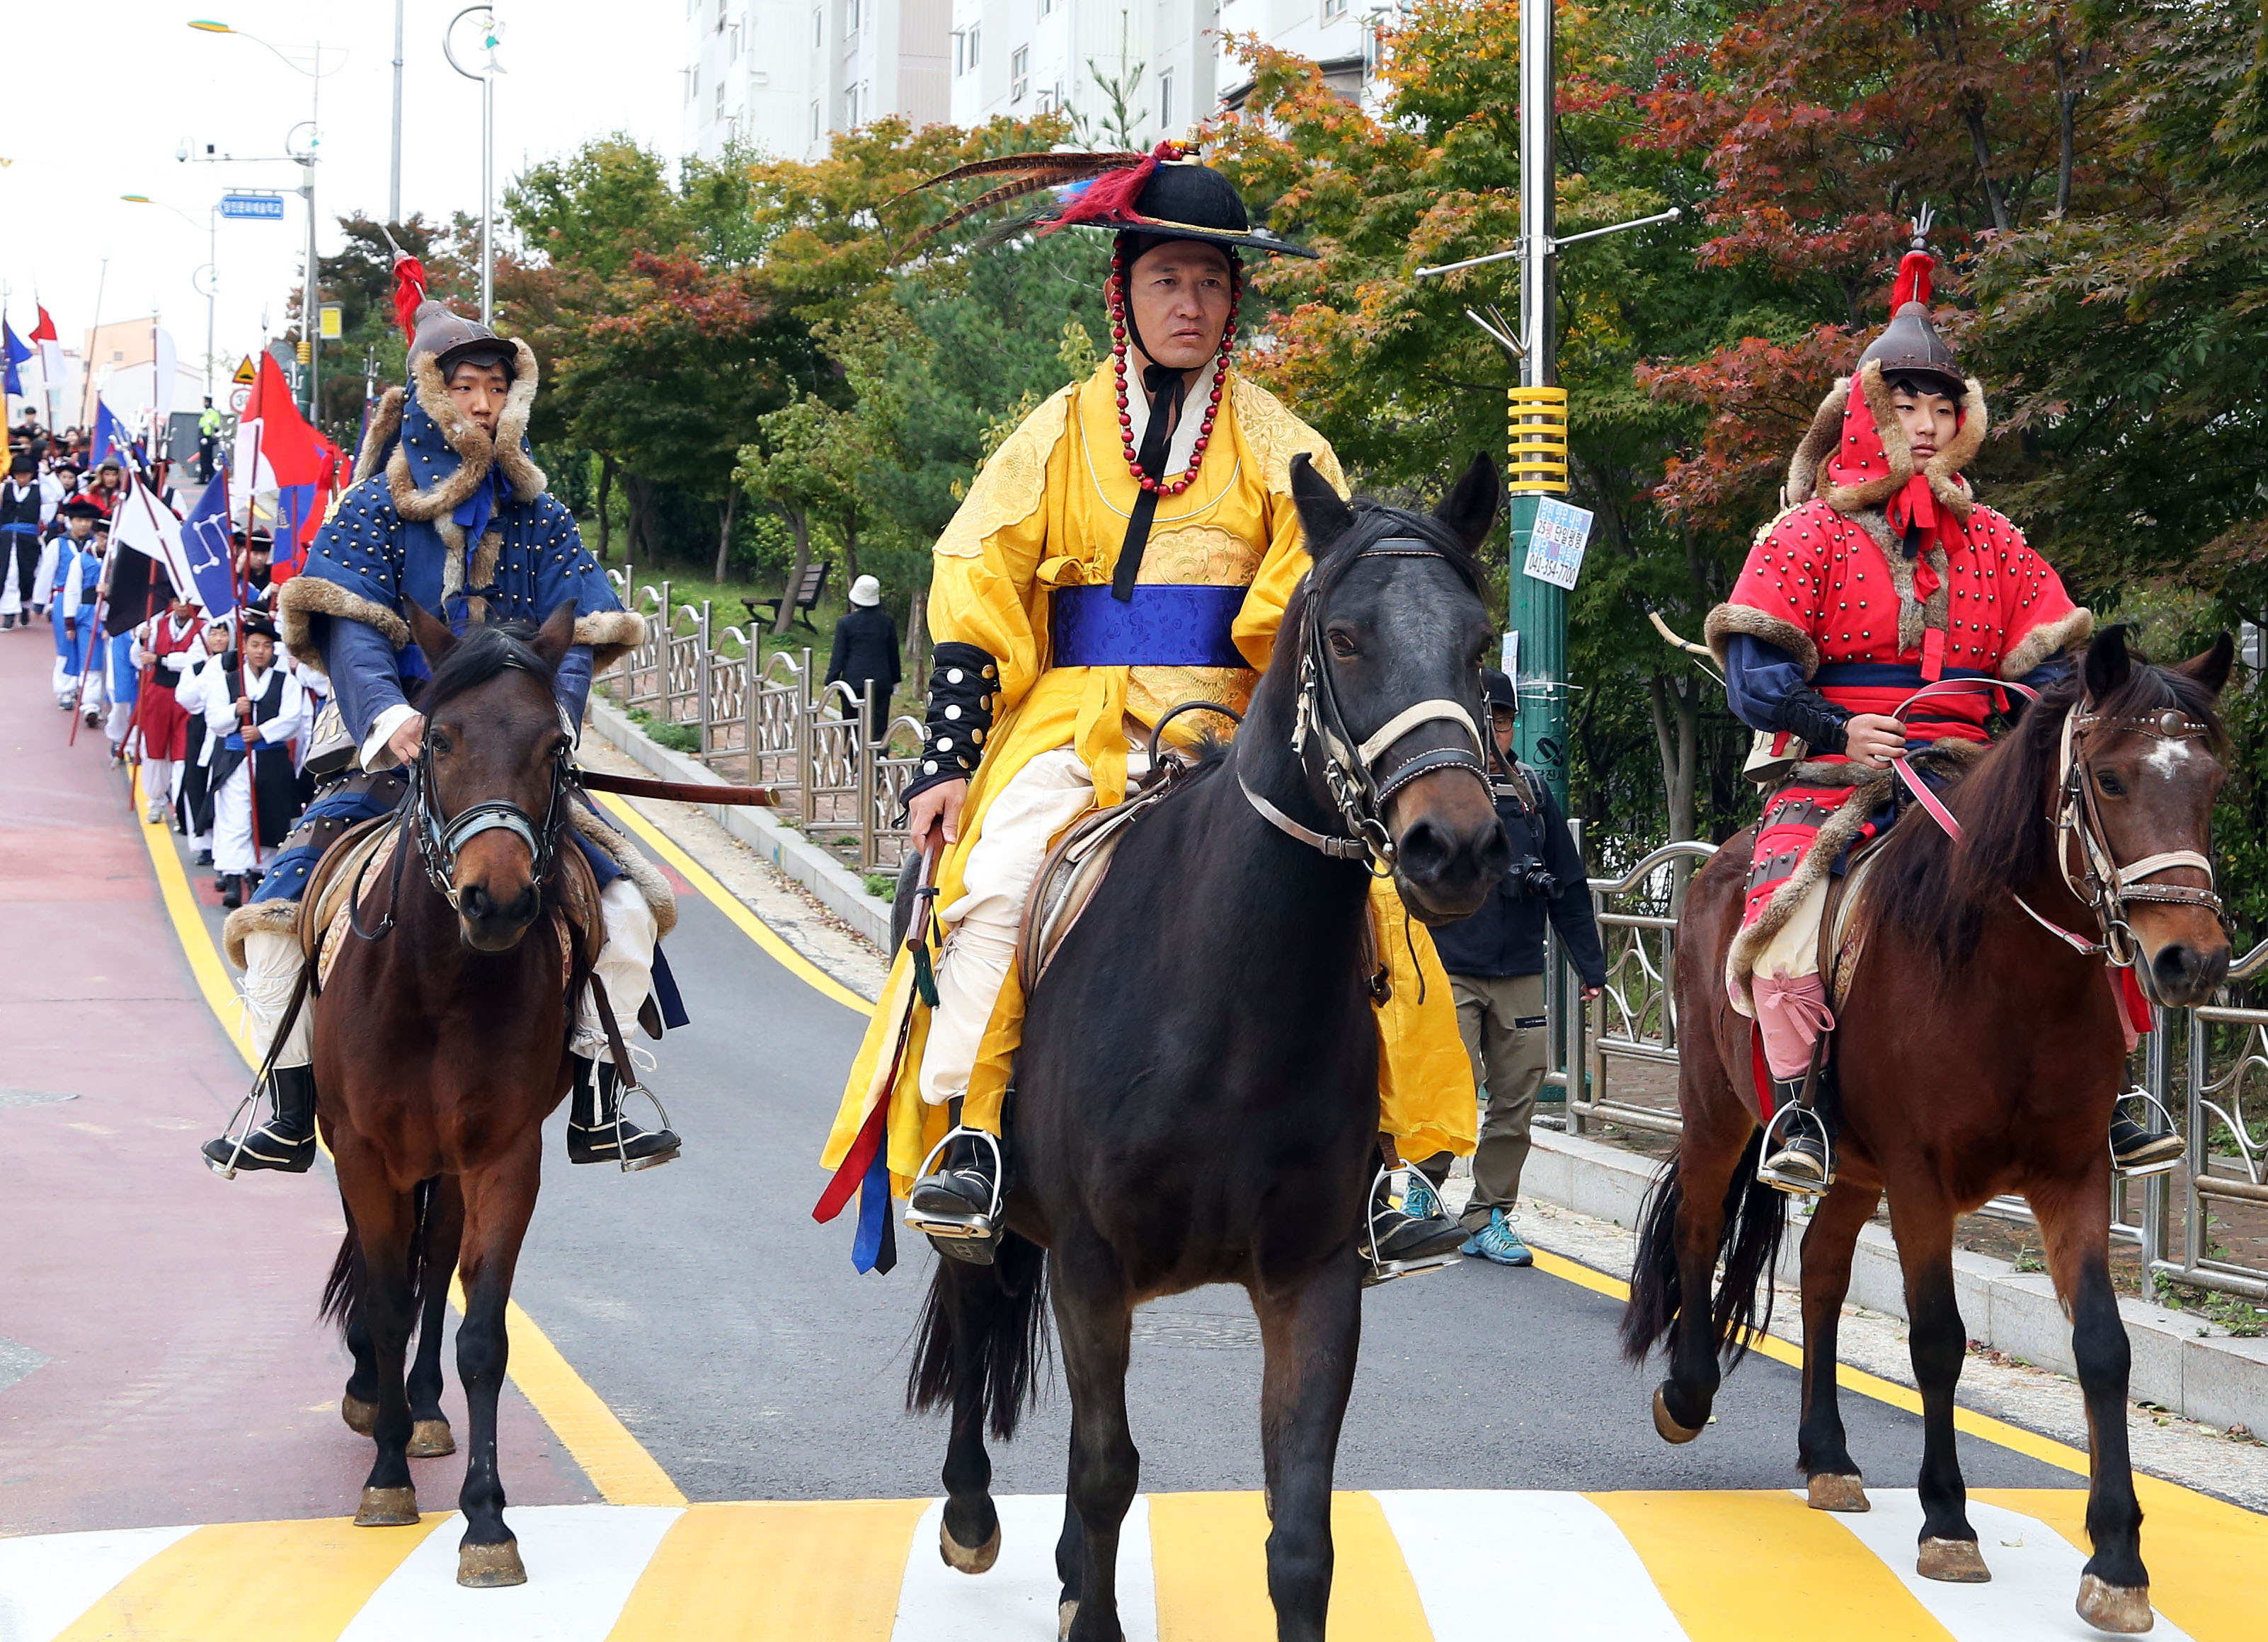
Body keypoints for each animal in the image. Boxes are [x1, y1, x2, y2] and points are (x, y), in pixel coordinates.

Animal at [313, 598, 594, 1588]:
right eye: (437, 738)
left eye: (555, 745)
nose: (496, 899)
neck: (437, 982)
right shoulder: (361, 1148)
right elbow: (385, 1297)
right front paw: (387, 1477)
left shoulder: (504, 1155)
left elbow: (482, 1332)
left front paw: (485, 1519)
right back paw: (375, 1392)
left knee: (436, 1265)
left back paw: (426, 1408)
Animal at [898, 451, 1506, 1642]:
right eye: (1348, 638)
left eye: (1480, 643)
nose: (1452, 845)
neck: (1231, 1022)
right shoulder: (1093, 1267)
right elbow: (1105, 1474)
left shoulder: (1315, 1278)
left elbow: (1301, 1530)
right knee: (978, 1300)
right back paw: (971, 1512)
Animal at [1632, 626, 2231, 1633]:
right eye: (2110, 780)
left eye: (2214, 782)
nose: (2195, 959)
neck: (2009, 975)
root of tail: (1717, 865)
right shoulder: (1922, 1176)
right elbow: (1938, 1340)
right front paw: (1947, 1520)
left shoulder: (2072, 1174)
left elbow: (2104, 1348)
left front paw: (2118, 1561)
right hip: (1719, 1104)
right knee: (1701, 1223)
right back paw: (1687, 1390)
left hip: (1854, 1163)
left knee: (1822, 1268)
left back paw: (1827, 1454)